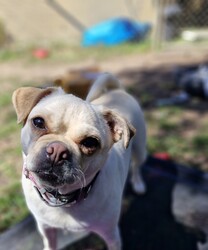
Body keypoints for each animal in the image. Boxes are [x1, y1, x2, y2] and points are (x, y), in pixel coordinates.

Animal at [12, 73, 146, 249]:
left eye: (90, 142)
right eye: (38, 122)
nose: (57, 150)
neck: (62, 198)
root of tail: (117, 91)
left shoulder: (111, 235)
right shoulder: (46, 228)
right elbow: (50, 244)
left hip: (140, 149)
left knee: (137, 166)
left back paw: (138, 183)